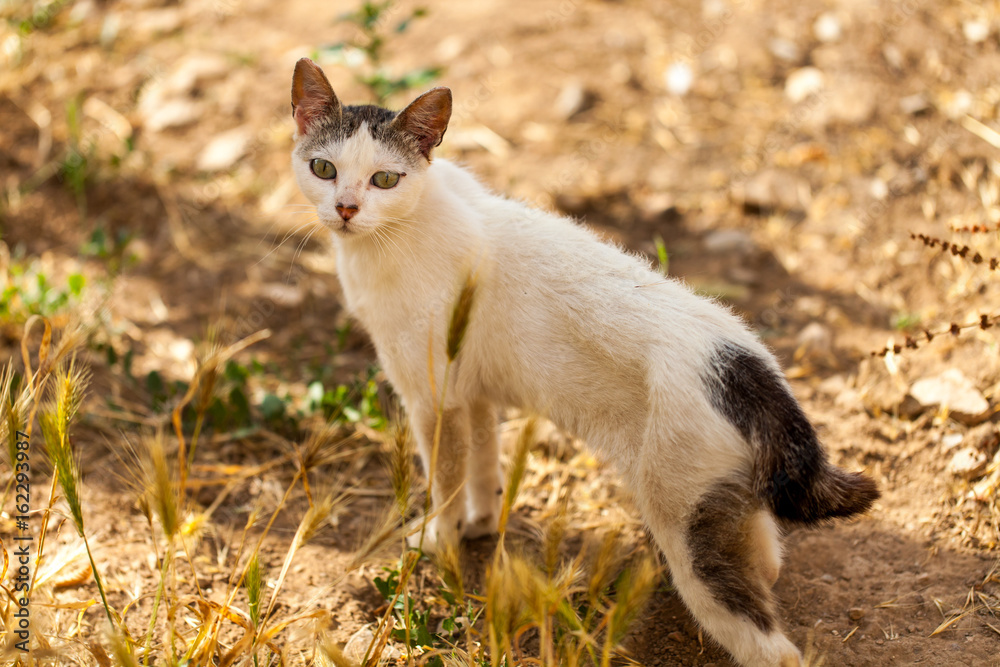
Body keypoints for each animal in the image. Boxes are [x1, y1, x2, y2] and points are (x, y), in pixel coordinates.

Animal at [288, 58, 876, 667]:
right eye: (324, 169)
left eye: (385, 179)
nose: (346, 208)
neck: (398, 232)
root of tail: (742, 366)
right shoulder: (472, 393)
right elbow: (484, 469)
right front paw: (480, 525)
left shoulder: (434, 398)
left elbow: (445, 480)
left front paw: (438, 540)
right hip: (724, 509)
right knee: (770, 561)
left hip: (692, 540)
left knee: (771, 646)